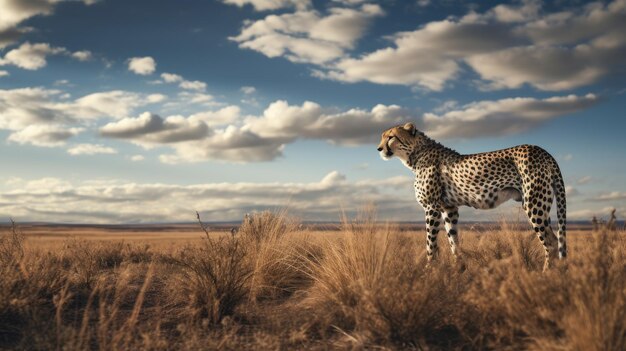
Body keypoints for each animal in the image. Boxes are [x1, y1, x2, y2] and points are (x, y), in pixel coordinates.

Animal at [376, 122, 564, 270]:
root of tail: (541, 150)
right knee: (555, 240)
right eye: (382, 137)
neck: (416, 153)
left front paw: (428, 270)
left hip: (534, 204)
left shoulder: (431, 207)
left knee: (551, 243)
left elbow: (430, 243)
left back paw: (546, 275)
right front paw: (458, 269)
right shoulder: (449, 208)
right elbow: (453, 240)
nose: (379, 149)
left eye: (390, 137)